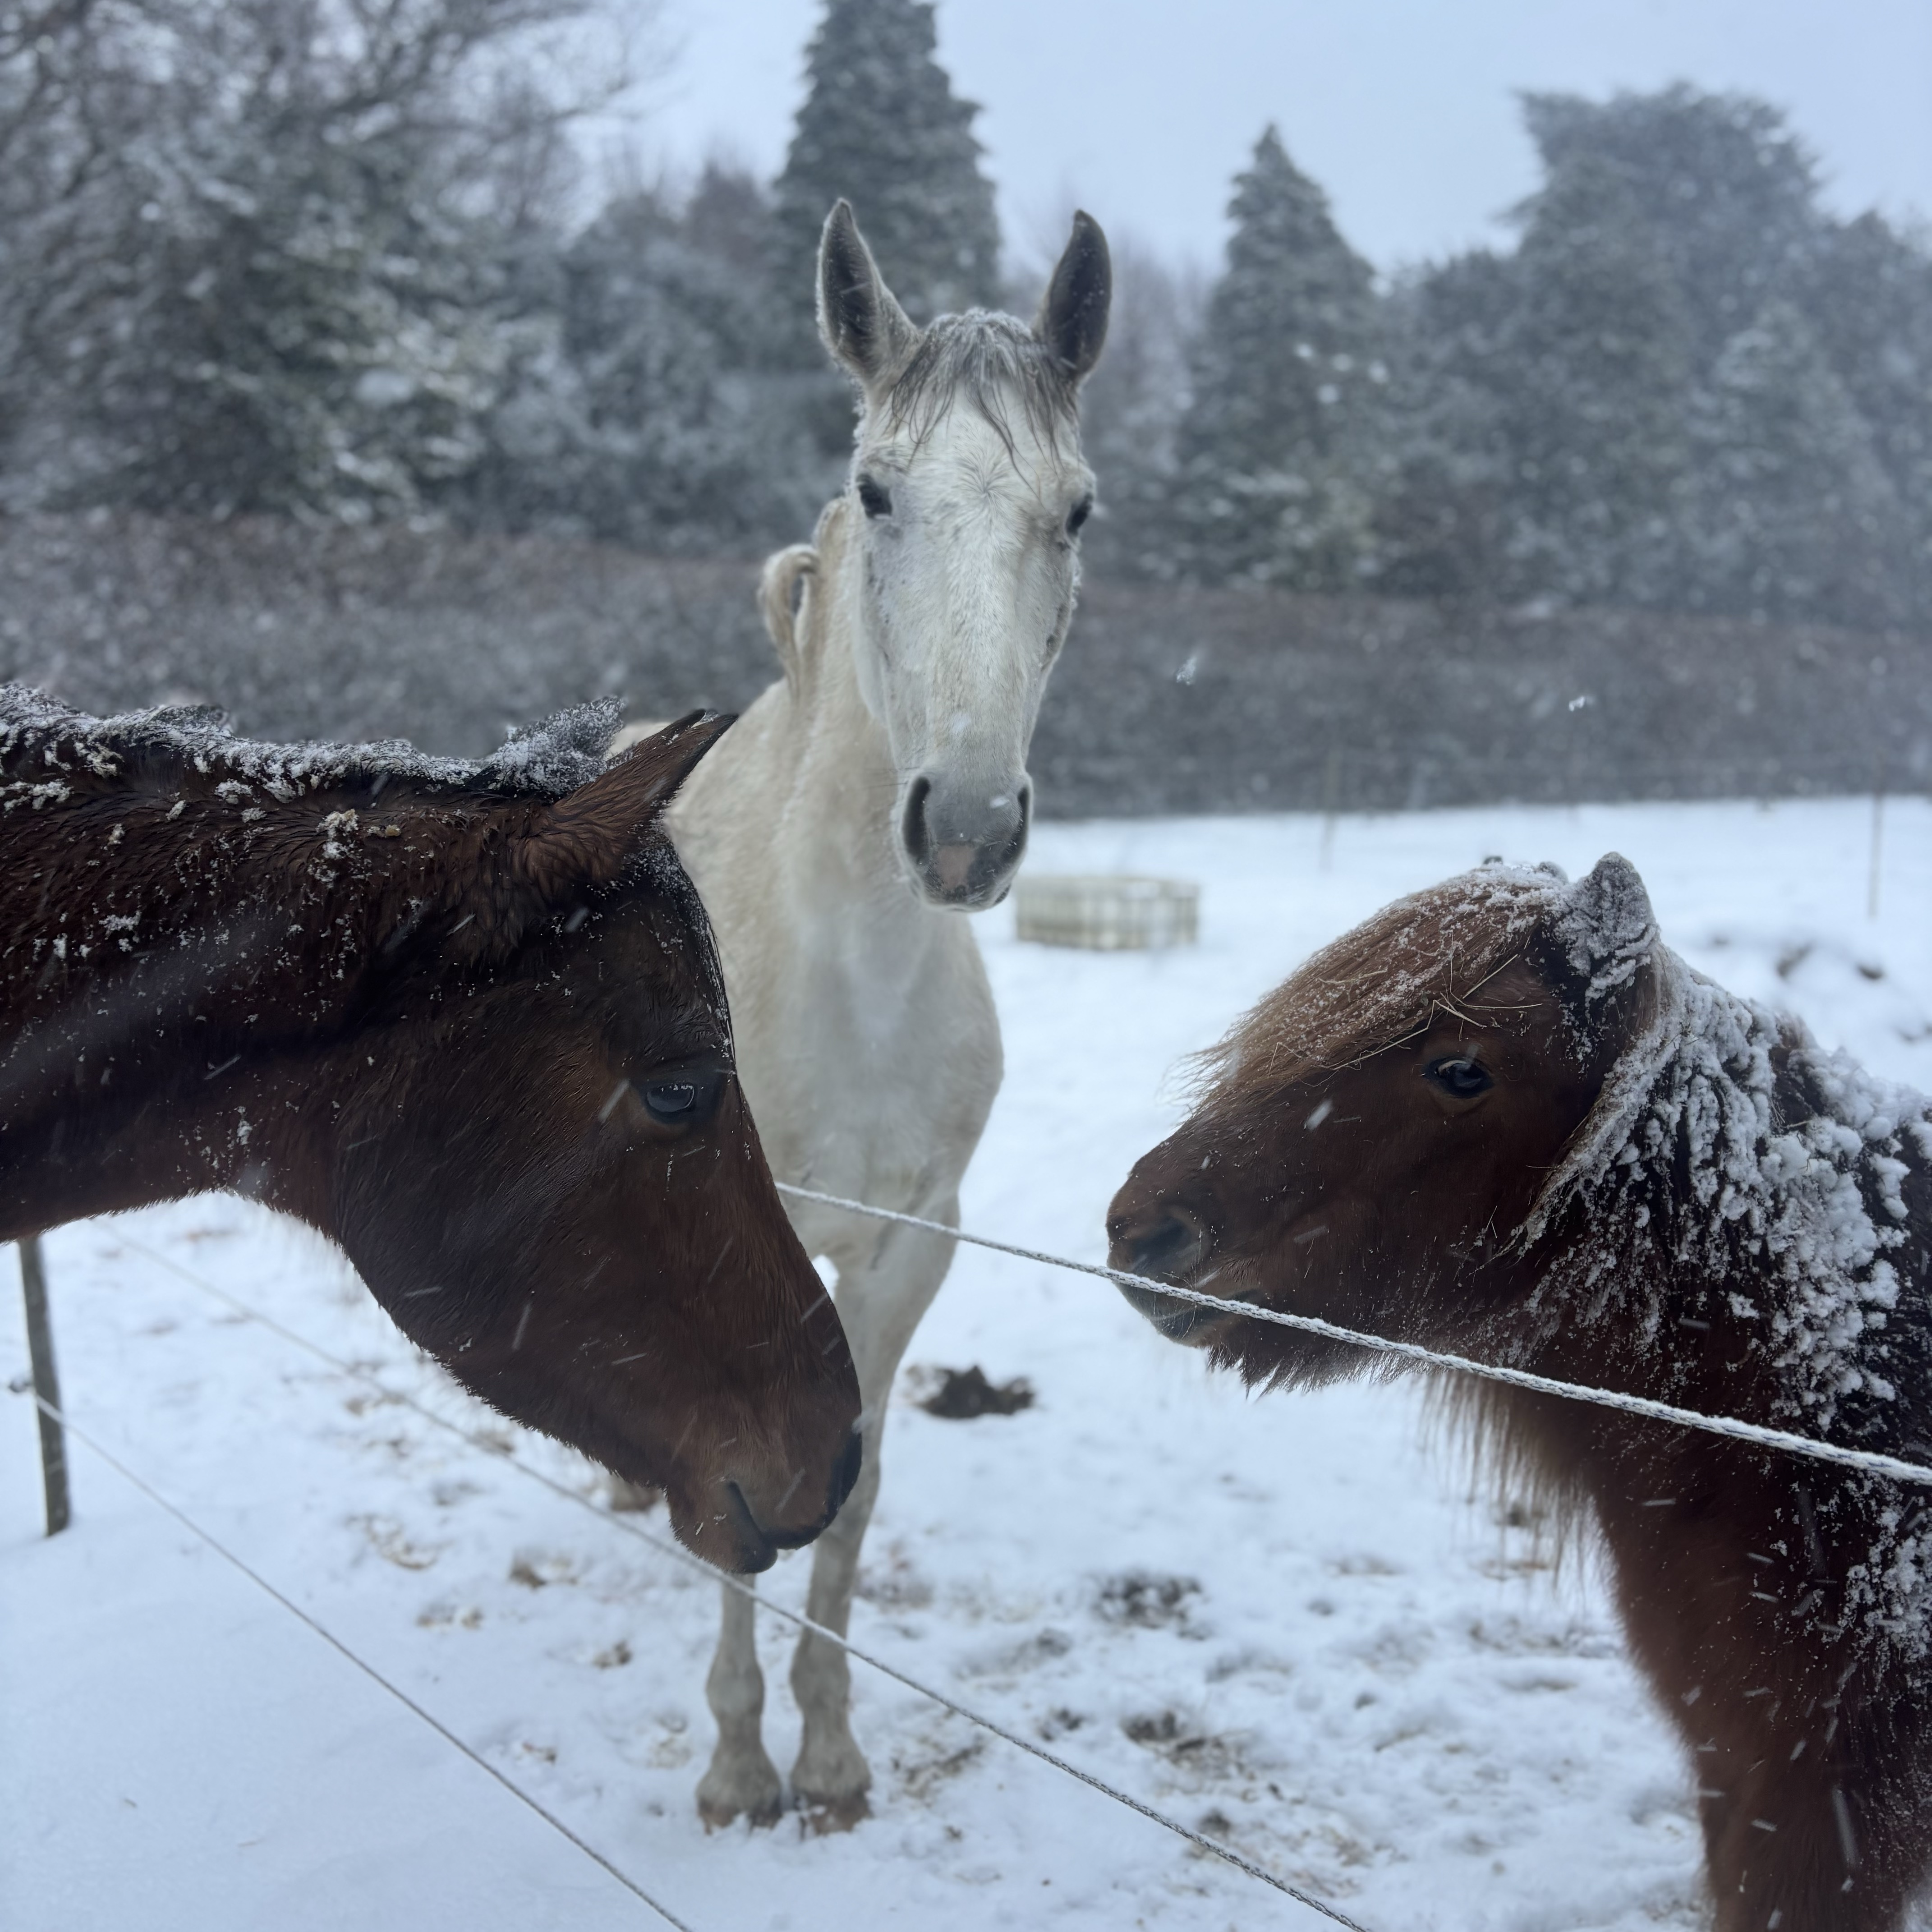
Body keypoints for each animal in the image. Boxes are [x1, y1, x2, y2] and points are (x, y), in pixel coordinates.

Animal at [637, 199, 1110, 1829]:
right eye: (875, 491)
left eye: (1077, 512)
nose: (962, 828)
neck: (839, 977)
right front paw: (734, 1767)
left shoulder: (911, 1248)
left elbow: (851, 1491)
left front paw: (831, 1757)